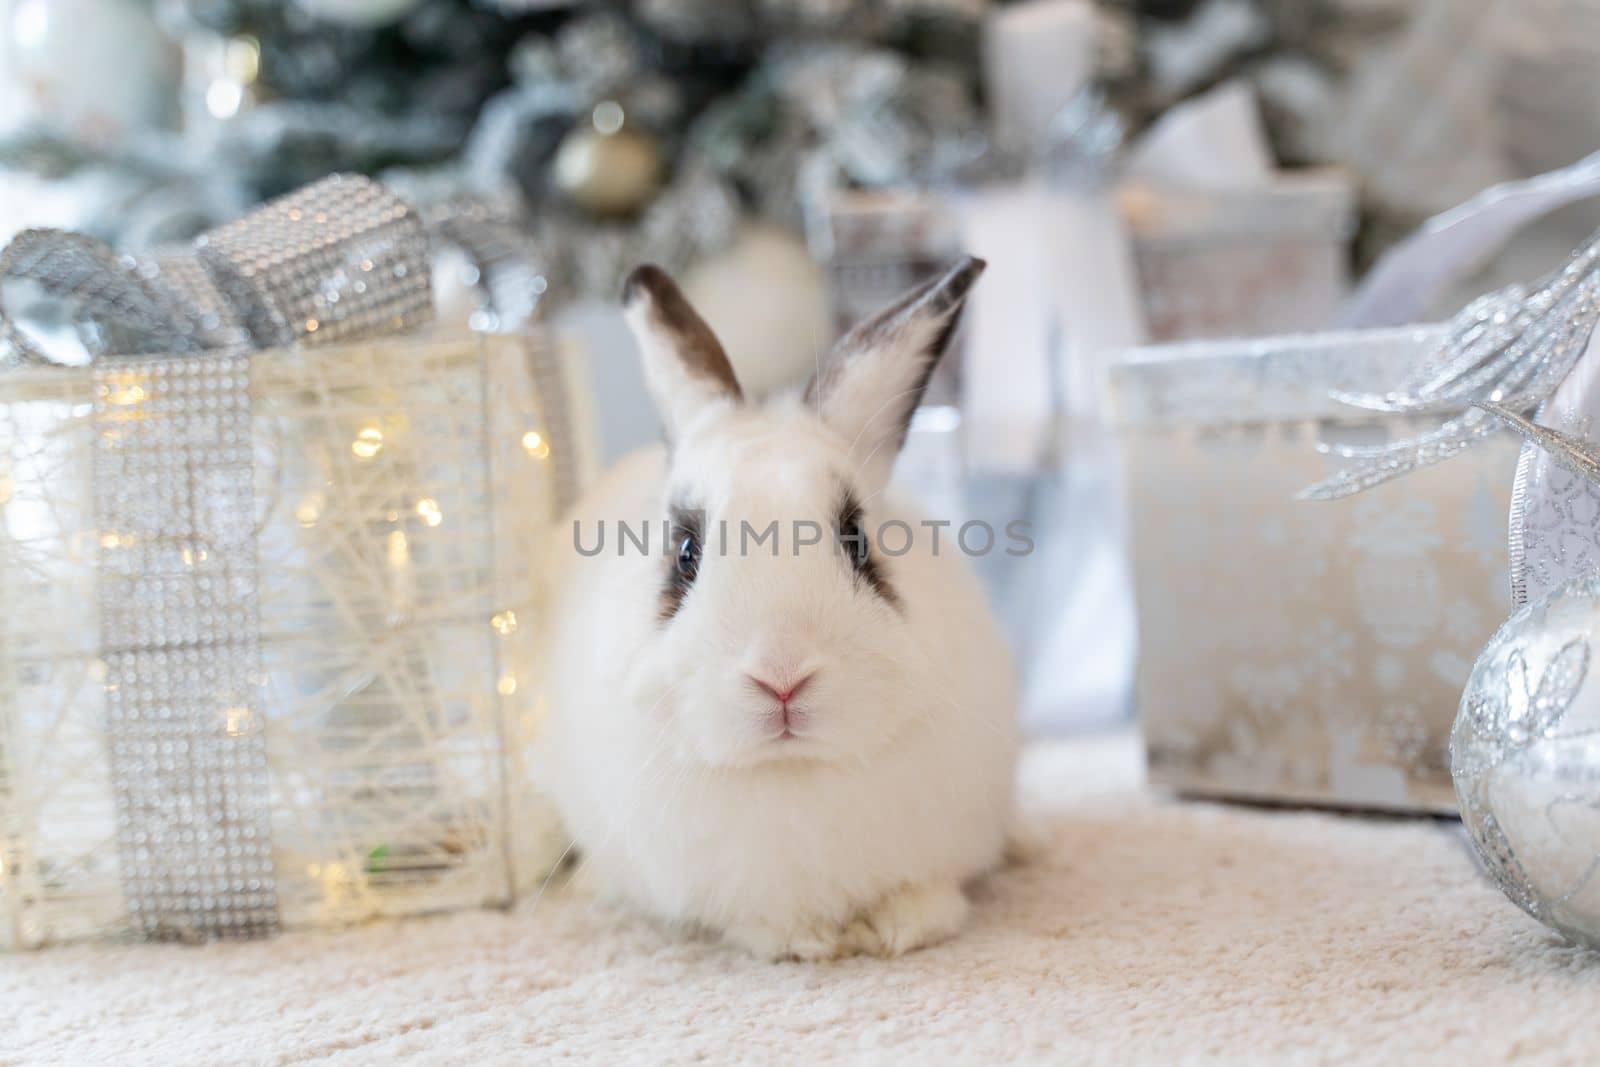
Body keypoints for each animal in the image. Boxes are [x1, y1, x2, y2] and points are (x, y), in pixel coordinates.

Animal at [531, 255, 1017, 959]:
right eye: (685, 553)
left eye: (856, 540)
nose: (782, 678)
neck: (793, 770)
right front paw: (807, 941)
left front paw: (904, 929)